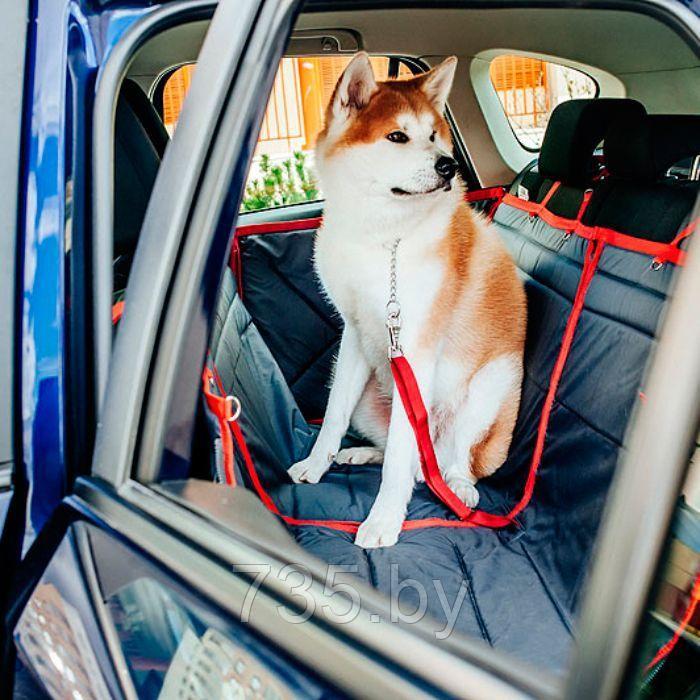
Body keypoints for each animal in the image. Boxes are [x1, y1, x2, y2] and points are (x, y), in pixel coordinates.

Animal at [286, 52, 524, 548]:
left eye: (433, 135)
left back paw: (457, 486)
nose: (448, 166)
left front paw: (383, 522)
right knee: (409, 461)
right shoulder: (356, 335)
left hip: (491, 385)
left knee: (445, 462)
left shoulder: (414, 349)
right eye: (397, 136)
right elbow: (333, 418)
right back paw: (362, 454)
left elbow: (399, 457)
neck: (380, 236)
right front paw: (316, 464)